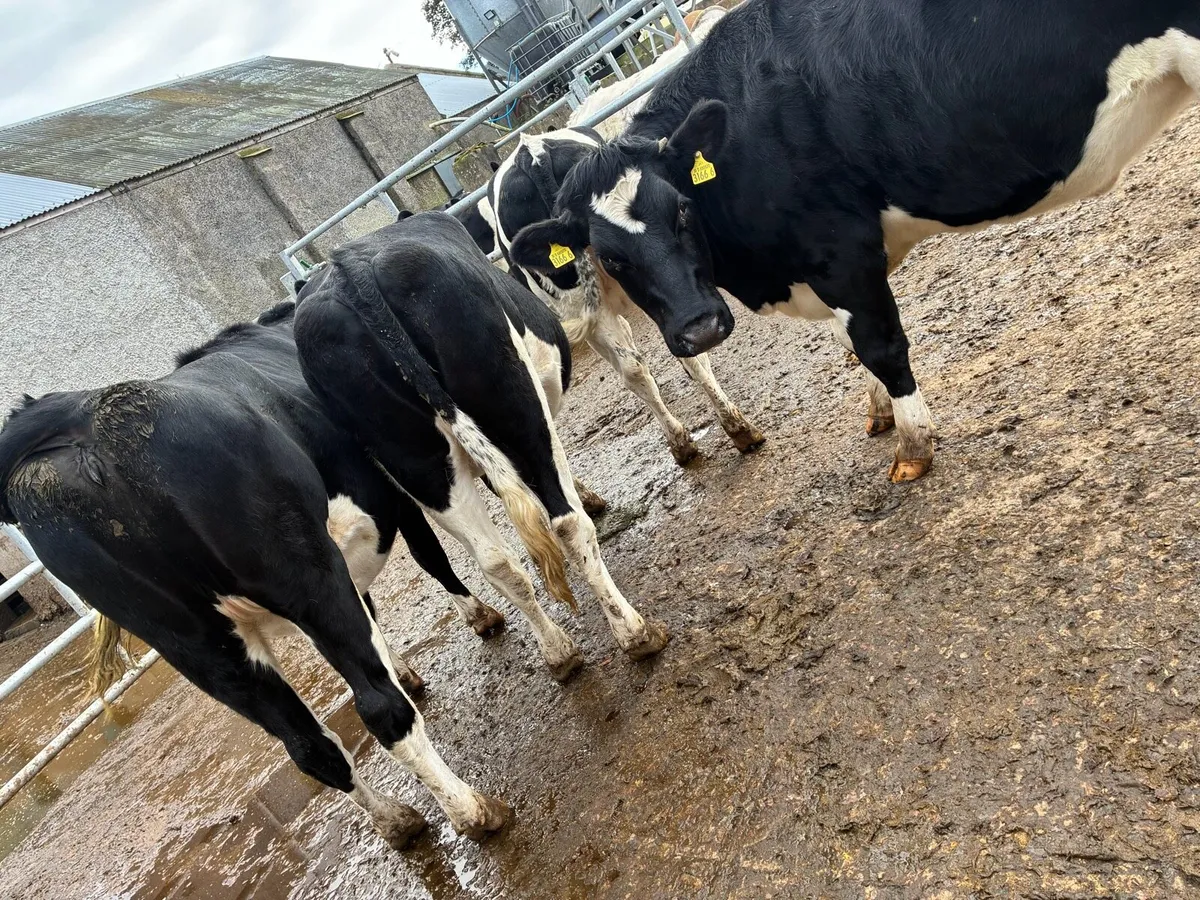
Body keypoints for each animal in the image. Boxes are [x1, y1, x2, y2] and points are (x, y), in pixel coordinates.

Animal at [0, 301, 527, 848]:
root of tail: (86, 415)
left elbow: (376, 614)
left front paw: (406, 667)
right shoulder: (391, 497)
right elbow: (432, 559)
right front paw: (480, 617)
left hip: (197, 644)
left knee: (308, 745)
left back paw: (397, 820)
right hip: (308, 576)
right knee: (380, 708)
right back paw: (475, 811)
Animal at [292, 211, 669, 695]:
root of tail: (351, 271)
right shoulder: (597, 317)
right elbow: (636, 371)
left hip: (420, 463)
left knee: (495, 559)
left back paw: (559, 652)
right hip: (517, 406)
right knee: (566, 523)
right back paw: (635, 632)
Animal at [509, 0, 1200, 482]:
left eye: (681, 209)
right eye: (610, 257)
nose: (700, 328)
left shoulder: (838, 252)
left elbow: (880, 344)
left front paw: (914, 445)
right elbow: (856, 347)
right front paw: (881, 413)